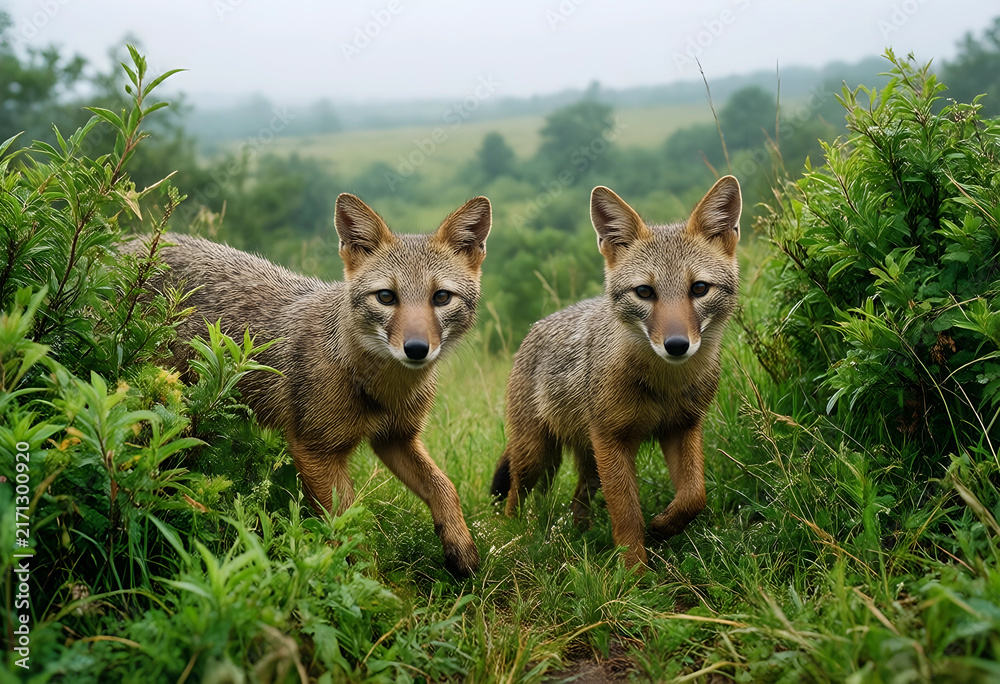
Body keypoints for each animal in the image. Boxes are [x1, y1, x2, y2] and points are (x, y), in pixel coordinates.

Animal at [139, 193, 491, 577]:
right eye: (386, 297)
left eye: (441, 298)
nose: (416, 349)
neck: (379, 390)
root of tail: (133, 241)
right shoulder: (315, 451)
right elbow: (349, 527)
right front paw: (362, 582)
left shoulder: (395, 439)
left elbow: (444, 487)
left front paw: (461, 548)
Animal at [491, 176, 741, 571]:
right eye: (644, 292)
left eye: (699, 288)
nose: (676, 345)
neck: (663, 386)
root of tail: (534, 328)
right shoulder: (614, 440)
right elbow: (626, 516)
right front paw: (635, 574)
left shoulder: (681, 428)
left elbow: (694, 496)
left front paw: (663, 527)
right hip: (538, 457)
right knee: (515, 495)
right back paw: (513, 536)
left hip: (590, 462)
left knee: (577, 499)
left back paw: (582, 535)